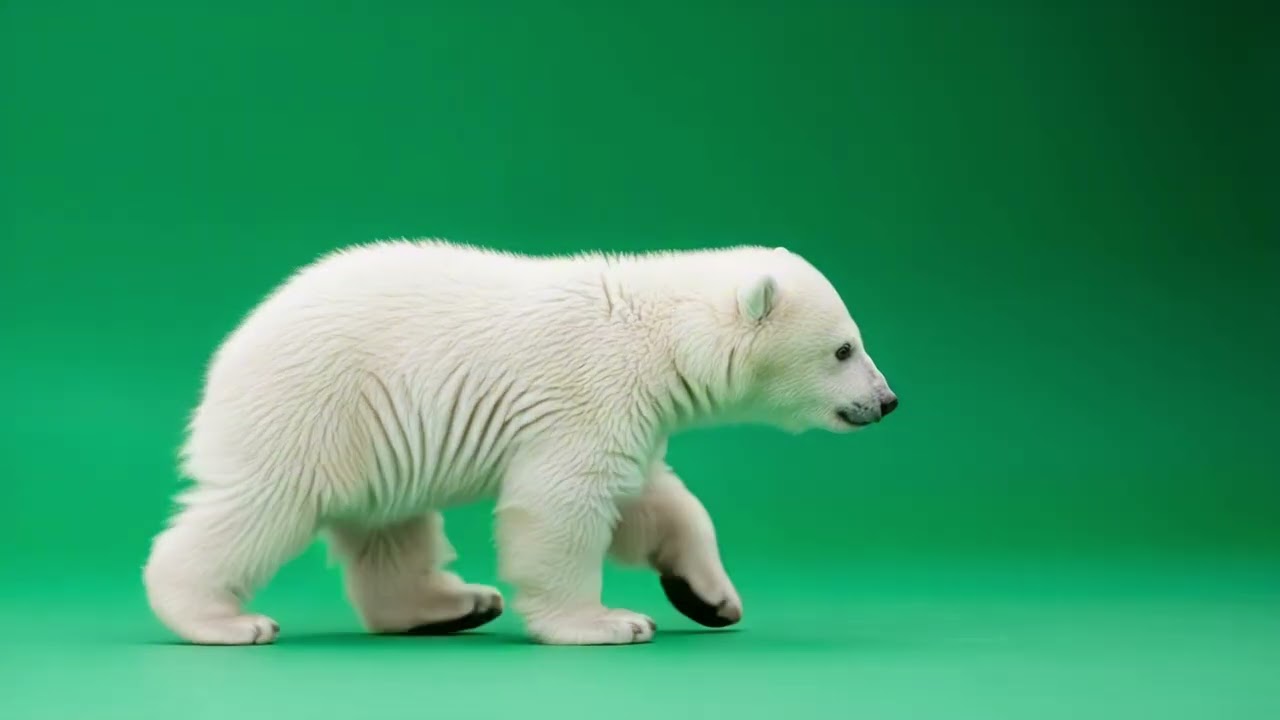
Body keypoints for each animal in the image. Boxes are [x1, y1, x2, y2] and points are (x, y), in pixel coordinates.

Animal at [143, 240, 897, 645]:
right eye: (843, 348)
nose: (888, 400)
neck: (654, 331)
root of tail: (230, 351)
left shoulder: (631, 412)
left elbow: (654, 502)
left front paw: (708, 597)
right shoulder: (590, 391)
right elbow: (562, 506)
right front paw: (609, 621)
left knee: (391, 529)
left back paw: (453, 605)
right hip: (312, 408)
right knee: (260, 509)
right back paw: (221, 619)